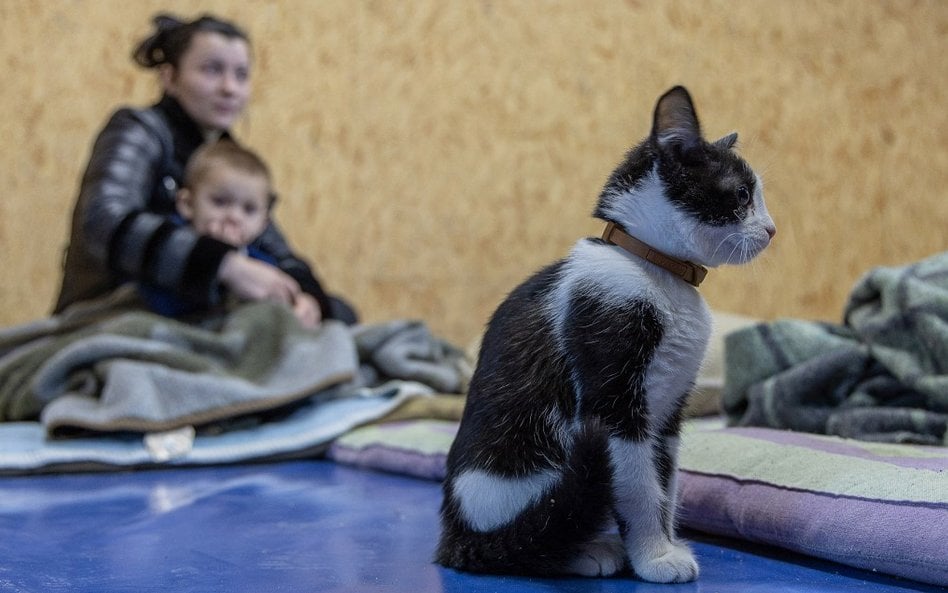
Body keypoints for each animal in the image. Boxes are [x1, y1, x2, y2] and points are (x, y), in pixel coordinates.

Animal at [436, 85, 776, 580]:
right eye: (742, 195)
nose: (772, 230)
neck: (654, 268)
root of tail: (453, 538)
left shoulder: (667, 413)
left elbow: (665, 482)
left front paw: (663, 545)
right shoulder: (615, 402)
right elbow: (638, 486)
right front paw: (655, 558)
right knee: (534, 536)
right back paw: (580, 550)